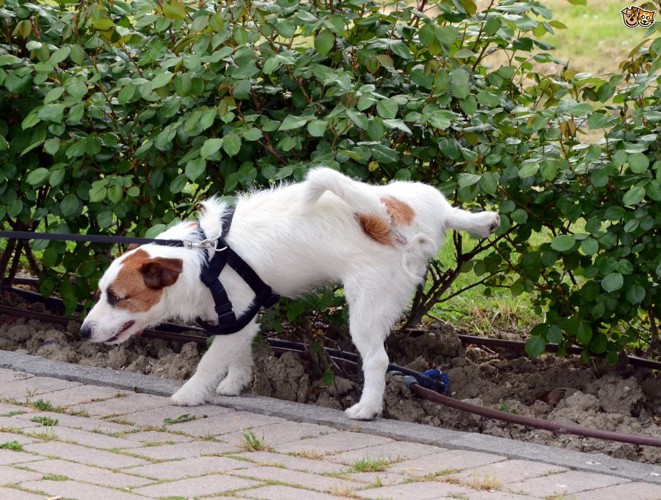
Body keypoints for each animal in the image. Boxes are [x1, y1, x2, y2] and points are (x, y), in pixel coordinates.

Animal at [80, 167, 498, 418]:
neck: (204, 254)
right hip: (417, 196)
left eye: (118, 297)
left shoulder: (232, 314)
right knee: (450, 211)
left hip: (366, 308)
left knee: (377, 360)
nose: (83, 331)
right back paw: (481, 221)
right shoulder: (241, 319)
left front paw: (190, 392)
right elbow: (239, 355)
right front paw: (234, 384)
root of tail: (383, 217)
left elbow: (210, 361)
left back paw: (366, 408)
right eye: (102, 293)